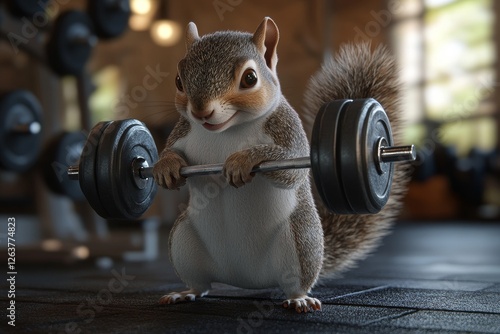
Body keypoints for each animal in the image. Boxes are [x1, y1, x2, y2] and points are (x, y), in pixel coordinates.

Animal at [153, 15, 410, 314]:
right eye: (178, 80)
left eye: (250, 78)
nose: (201, 111)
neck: (227, 130)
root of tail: (246, 280)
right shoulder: (182, 131)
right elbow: (169, 152)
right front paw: (165, 167)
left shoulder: (287, 129)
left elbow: (289, 169)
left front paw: (243, 160)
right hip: (182, 241)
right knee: (201, 285)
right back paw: (184, 292)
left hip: (300, 242)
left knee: (295, 281)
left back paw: (299, 299)